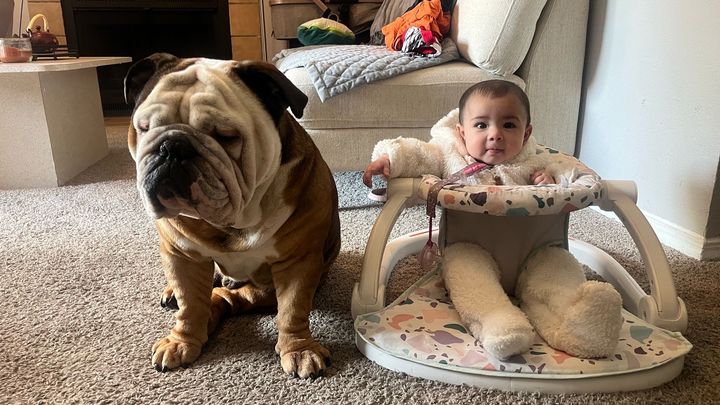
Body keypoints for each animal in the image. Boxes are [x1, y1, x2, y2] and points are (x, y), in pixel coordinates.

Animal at [123, 53, 341, 378]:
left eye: (225, 136)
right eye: (144, 127)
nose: (172, 146)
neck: (237, 219)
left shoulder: (297, 263)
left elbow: (292, 311)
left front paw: (300, 349)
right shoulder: (182, 256)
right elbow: (190, 306)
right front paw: (182, 341)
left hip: (263, 290)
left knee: (227, 299)